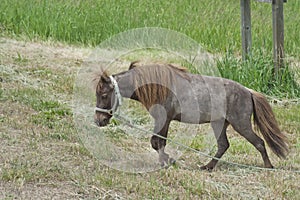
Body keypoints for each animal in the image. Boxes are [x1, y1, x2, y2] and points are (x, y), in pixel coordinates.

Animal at [94, 61, 288, 170]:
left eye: (103, 95)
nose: (98, 120)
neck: (158, 87)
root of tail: (248, 91)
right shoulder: (164, 121)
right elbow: (159, 143)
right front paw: (167, 161)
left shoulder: (163, 119)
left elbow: (157, 142)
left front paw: (167, 162)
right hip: (219, 124)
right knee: (223, 145)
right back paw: (207, 167)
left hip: (241, 125)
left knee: (259, 143)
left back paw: (269, 167)